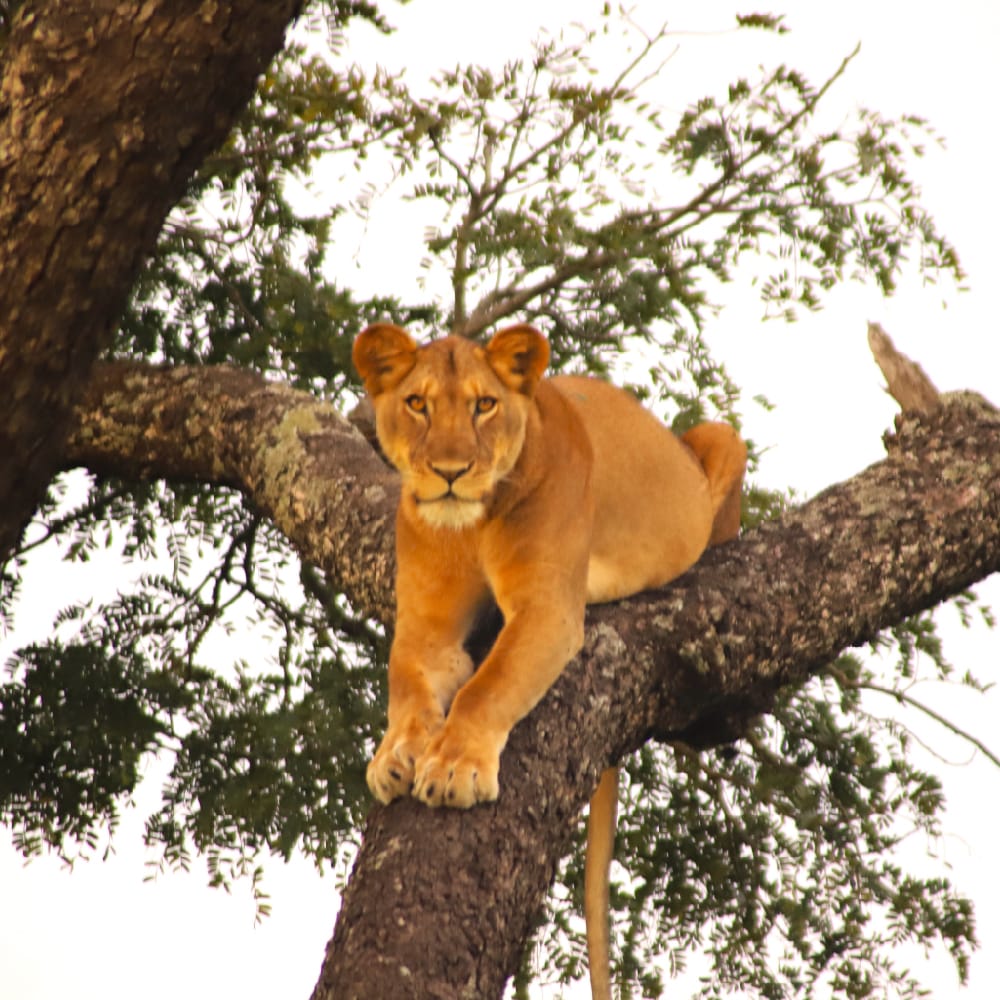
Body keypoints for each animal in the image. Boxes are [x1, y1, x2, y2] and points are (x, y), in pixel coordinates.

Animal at [353, 322, 746, 1000]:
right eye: (417, 404)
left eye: (484, 405)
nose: (451, 472)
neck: (471, 521)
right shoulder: (426, 626)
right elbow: (405, 677)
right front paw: (396, 753)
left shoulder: (551, 611)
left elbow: (489, 686)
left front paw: (454, 768)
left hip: (722, 438)